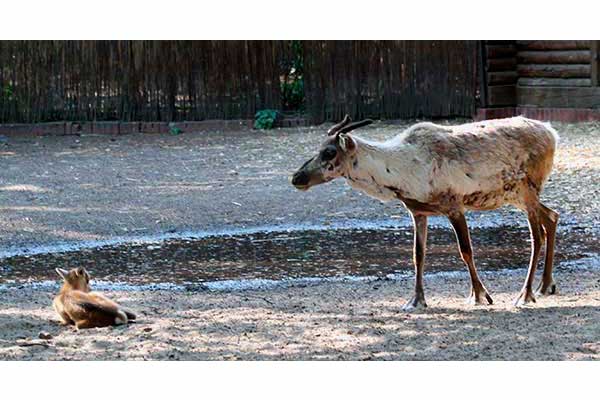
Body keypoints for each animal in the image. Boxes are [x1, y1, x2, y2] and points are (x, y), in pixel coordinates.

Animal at [292, 115, 560, 310]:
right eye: (318, 148)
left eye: (329, 152)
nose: (296, 177)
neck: (401, 172)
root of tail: (552, 133)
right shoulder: (418, 211)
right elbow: (418, 255)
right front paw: (415, 300)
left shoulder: (454, 205)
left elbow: (466, 251)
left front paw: (480, 295)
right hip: (517, 197)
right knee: (552, 217)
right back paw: (545, 285)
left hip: (527, 190)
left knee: (537, 236)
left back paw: (525, 294)